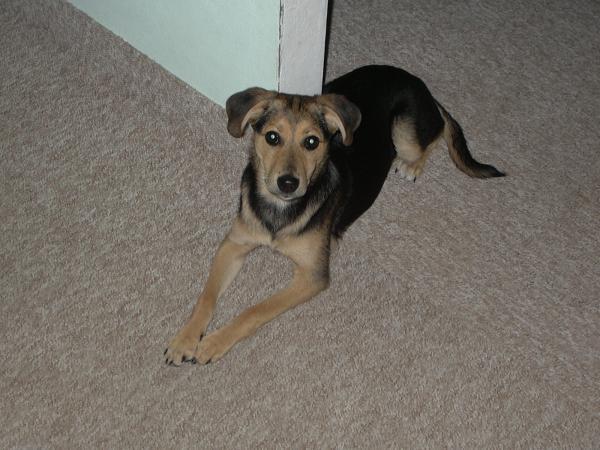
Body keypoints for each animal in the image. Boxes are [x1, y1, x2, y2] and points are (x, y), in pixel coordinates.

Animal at [164, 65, 504, 365]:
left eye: (312, 142)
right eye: (272, 137)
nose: (288, 183)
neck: (280, 211)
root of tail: (415, 80)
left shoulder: (312, 275)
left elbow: (255, 310)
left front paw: (213, 342)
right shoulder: (234, 244)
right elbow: (206, 297)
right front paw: (185, 339)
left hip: (405, 134)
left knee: (436, 135)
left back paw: (411, 166)